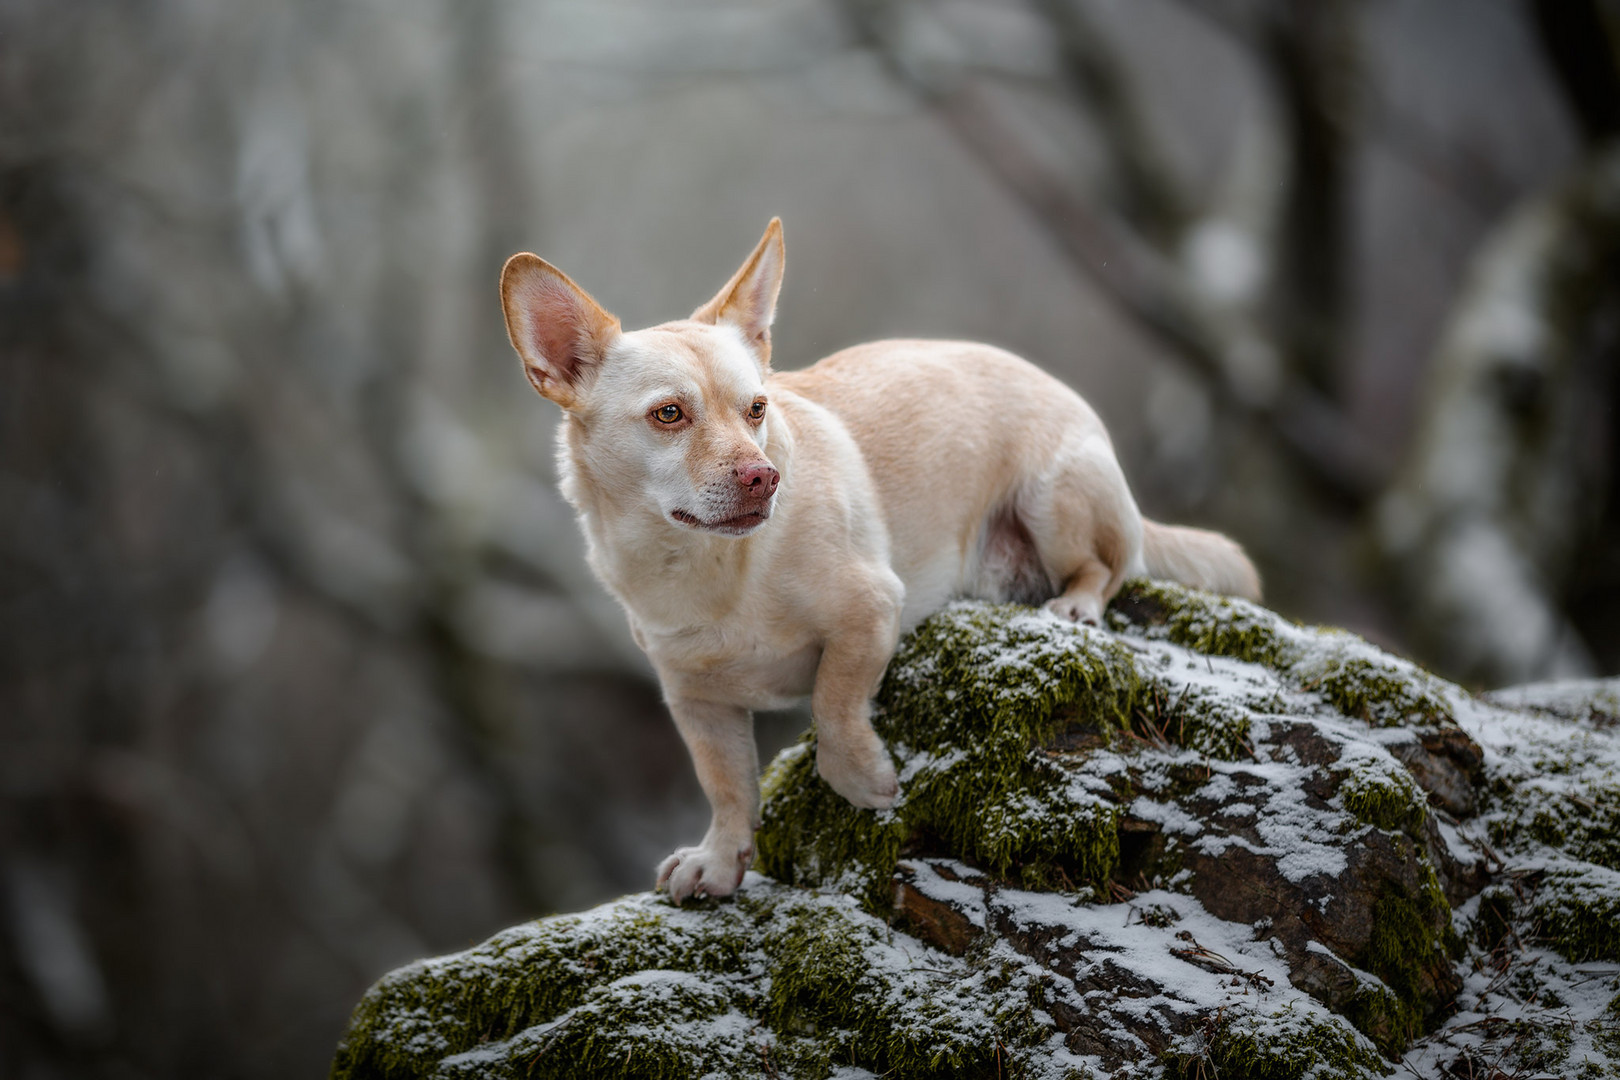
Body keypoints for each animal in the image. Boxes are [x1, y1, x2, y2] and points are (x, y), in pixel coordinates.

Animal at [498, 220, 1257, 906]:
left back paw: (1077, 601)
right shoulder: (698, 703)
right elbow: (727, 784)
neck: (706, 566)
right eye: (668, 415)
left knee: (1108, 567)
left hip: (1057, 497)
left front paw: (865, 780)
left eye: (757, 409)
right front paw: (719, 860)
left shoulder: (870, 613)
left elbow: (833, 710)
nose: (763, 476)